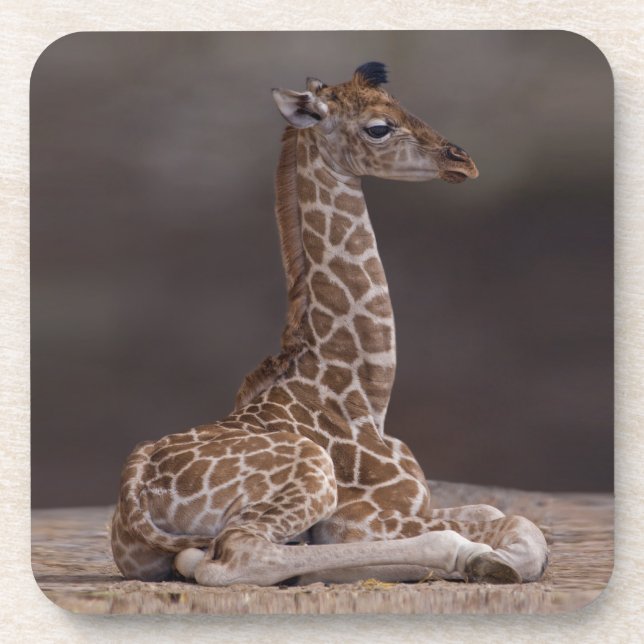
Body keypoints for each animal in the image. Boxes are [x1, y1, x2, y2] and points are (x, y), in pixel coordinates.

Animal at [111, 62, 548, 587]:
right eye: (379, 127)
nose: (461, 160)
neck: (366, 397)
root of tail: (134, 490)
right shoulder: (362, 518)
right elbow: (518, 525)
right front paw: (489, 560)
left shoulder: (413, 505)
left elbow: (500, 514)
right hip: (312, 472)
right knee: (238, 554)